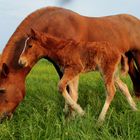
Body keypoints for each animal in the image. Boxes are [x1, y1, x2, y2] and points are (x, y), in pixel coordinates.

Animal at [0, 6, 140, 120]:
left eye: (2, 90)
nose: (21, 61)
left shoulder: (74, 68)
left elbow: (67, 89)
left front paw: (77, 114)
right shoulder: (63, 68)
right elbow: (69, 90)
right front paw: (69, 114)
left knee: (113, 90)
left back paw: (100, 120)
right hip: (111, 71)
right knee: (124, 86)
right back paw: (134, 108)